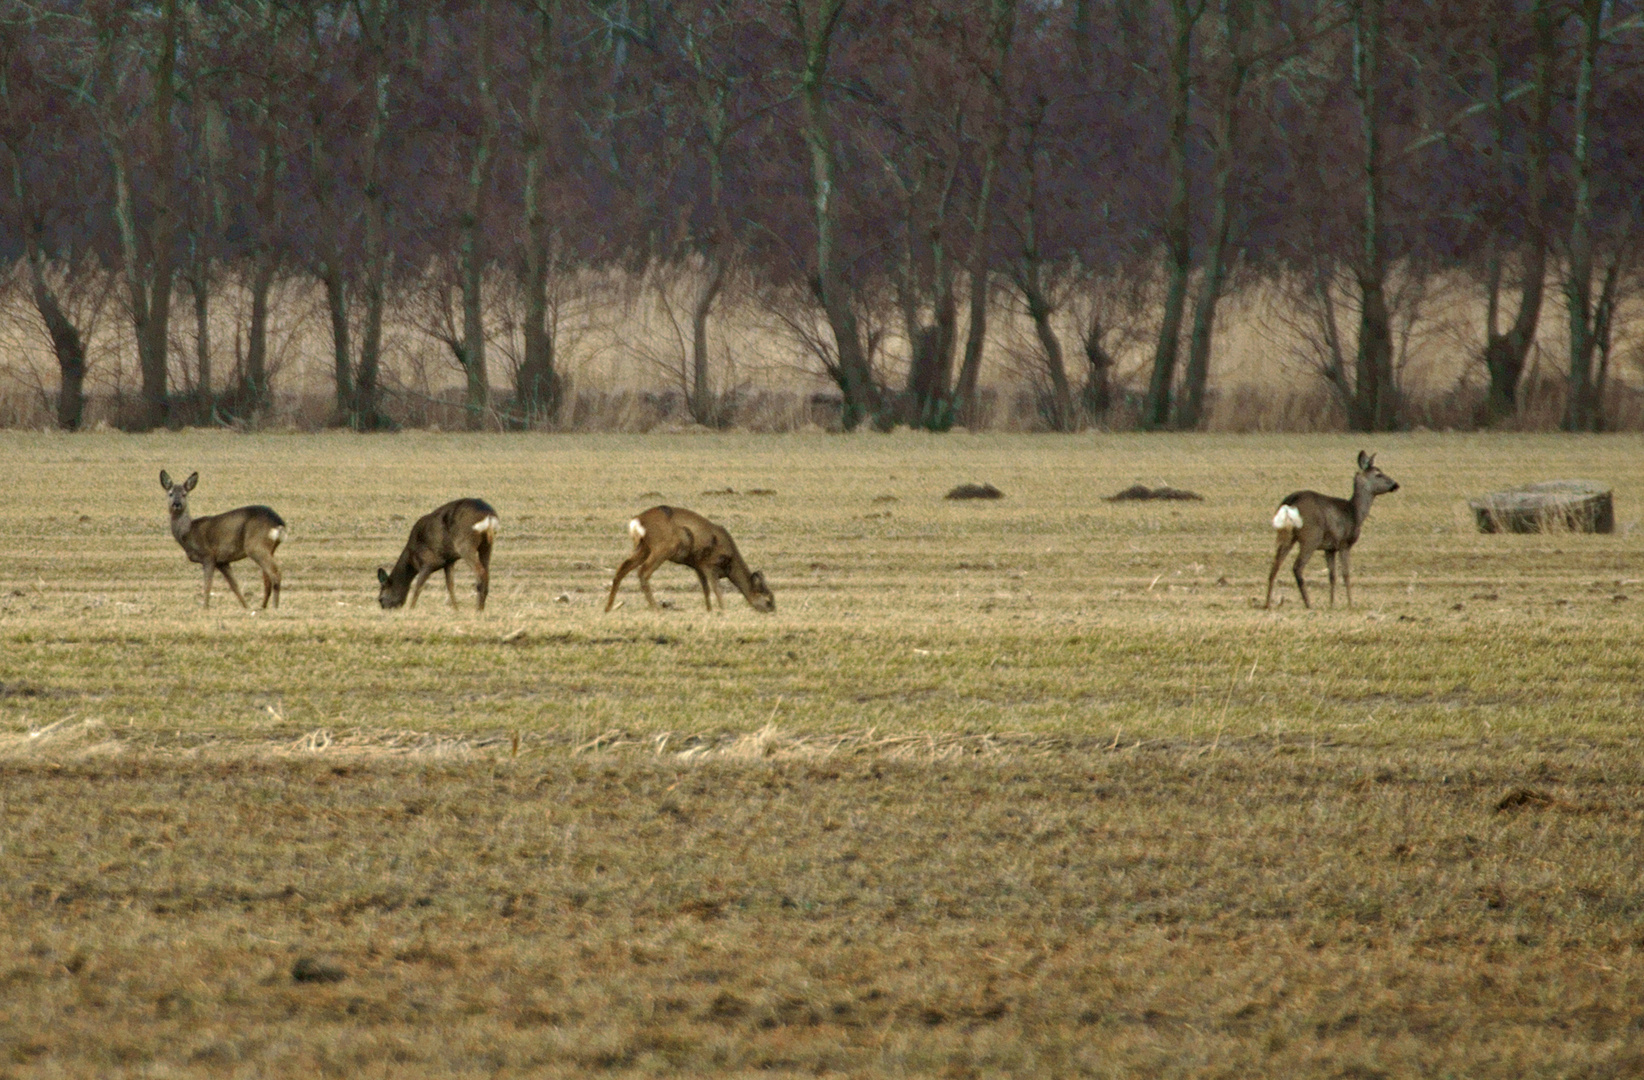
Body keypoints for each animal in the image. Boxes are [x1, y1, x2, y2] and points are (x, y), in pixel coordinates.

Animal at [158, 470, 287, 611]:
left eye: (184, 494)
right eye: (170, 493)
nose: (177, 504)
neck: (189, 533)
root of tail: (279, 522)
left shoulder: (208, 555)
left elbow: (207, 585)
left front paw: (205, 608)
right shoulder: (222, 561)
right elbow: (234, 586)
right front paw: (246, 607)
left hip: (255, 545)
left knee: (275, 573)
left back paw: (275, 607)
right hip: (269, 548)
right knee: (267, 578)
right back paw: (262, 607)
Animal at [604, 503, 775, 611]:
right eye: (768, 600)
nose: (773, 610)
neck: (730, 564)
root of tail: (637, 521)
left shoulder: (697, 566)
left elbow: (706, 590)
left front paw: (710, 611)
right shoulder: (708, 564)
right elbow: (716, 589)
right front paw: (723, 611)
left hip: (642, 547)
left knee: (621, 569)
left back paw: (608, 608)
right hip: (662, 548)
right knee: (643, 572)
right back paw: (657, 609)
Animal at [1256, 450, 1400, 611]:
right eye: (1378, 474)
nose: (1396, 484)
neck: (1355, 512)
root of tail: (1290, 503)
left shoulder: (1329, 548)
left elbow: (1332, 576)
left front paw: (1332, 603)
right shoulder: (1344, 543)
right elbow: (1346, 574)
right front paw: (1350, 604)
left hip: (1287, 535)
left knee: (1274, 566)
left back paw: (1267, 603)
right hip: (1310, 537)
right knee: (1297, 567)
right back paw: (1308, 603)